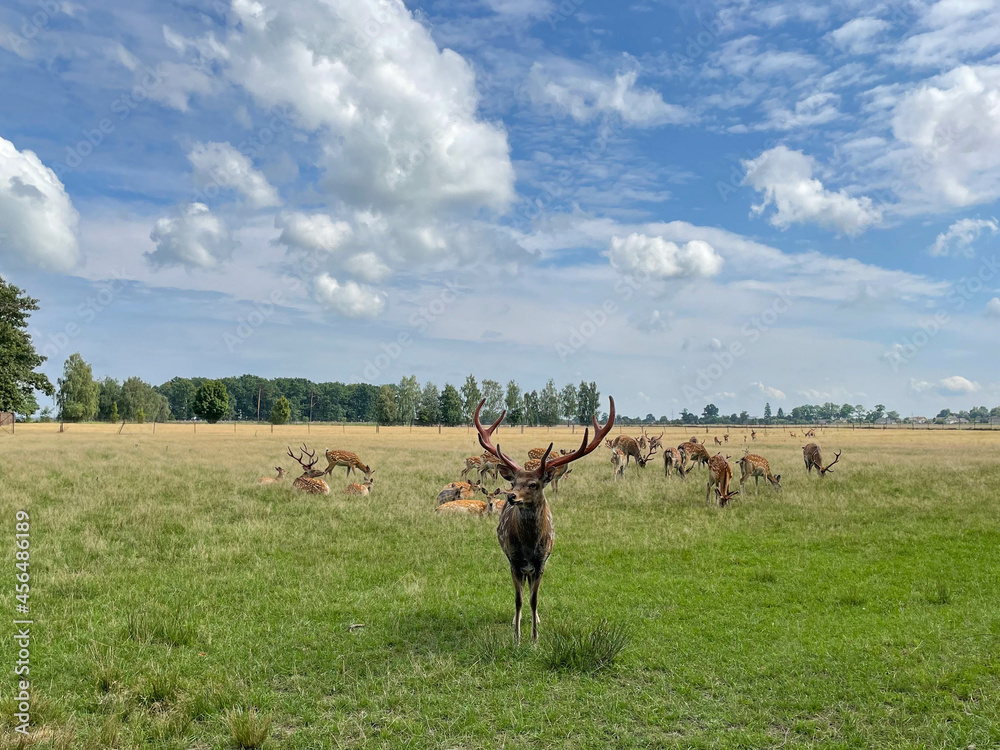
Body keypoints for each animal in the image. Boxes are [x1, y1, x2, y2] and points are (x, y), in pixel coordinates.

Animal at [475, 395, 615, 643]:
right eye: (514, 482)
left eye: (534, 484)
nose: (511, 496)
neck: (529, 545)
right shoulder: (514, 560)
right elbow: (519, 599)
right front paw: (517, 636)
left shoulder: (541, 562)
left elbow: (534, 600)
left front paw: (534, 638)